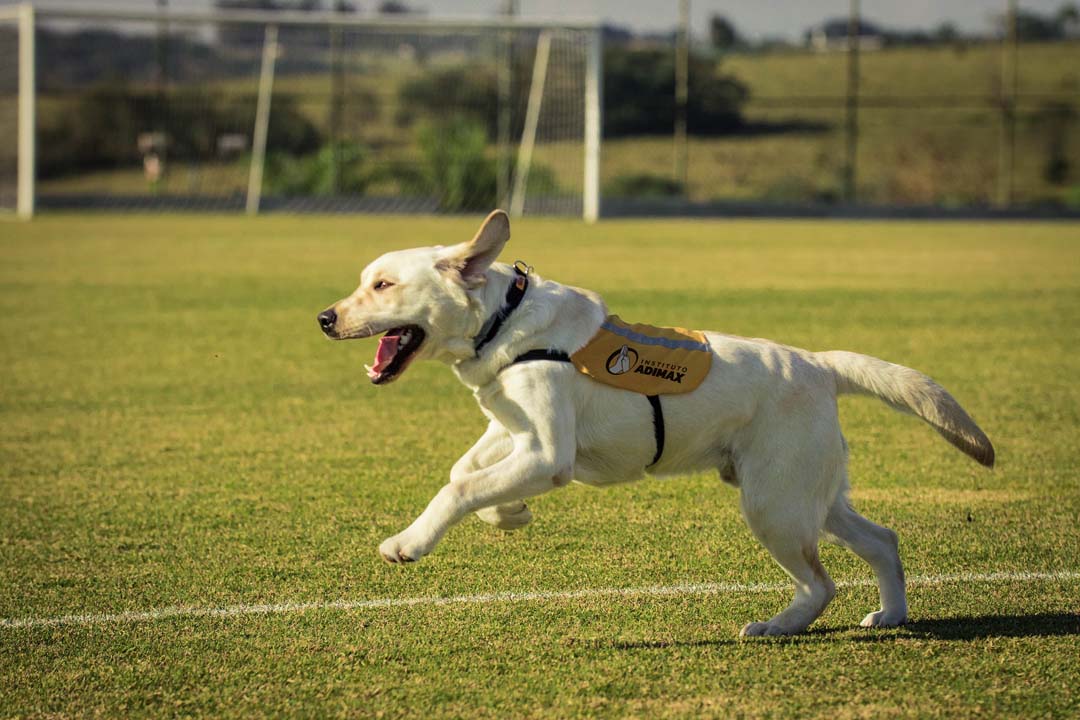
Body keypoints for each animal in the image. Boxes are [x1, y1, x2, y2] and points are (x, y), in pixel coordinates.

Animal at [315, 211, 989, 639]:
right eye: (363, 282)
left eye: (382, 284)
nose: (323, 318)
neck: (502, 322)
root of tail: (819, 364)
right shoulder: (514, 431)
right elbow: (466, 472)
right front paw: (508, 513)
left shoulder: (546, 453)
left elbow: (457, 486)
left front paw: (409, 542)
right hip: (809, 496)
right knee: (883, 540)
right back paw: (891, 614)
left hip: (773, 504)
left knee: (821, 584)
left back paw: (775, 626)